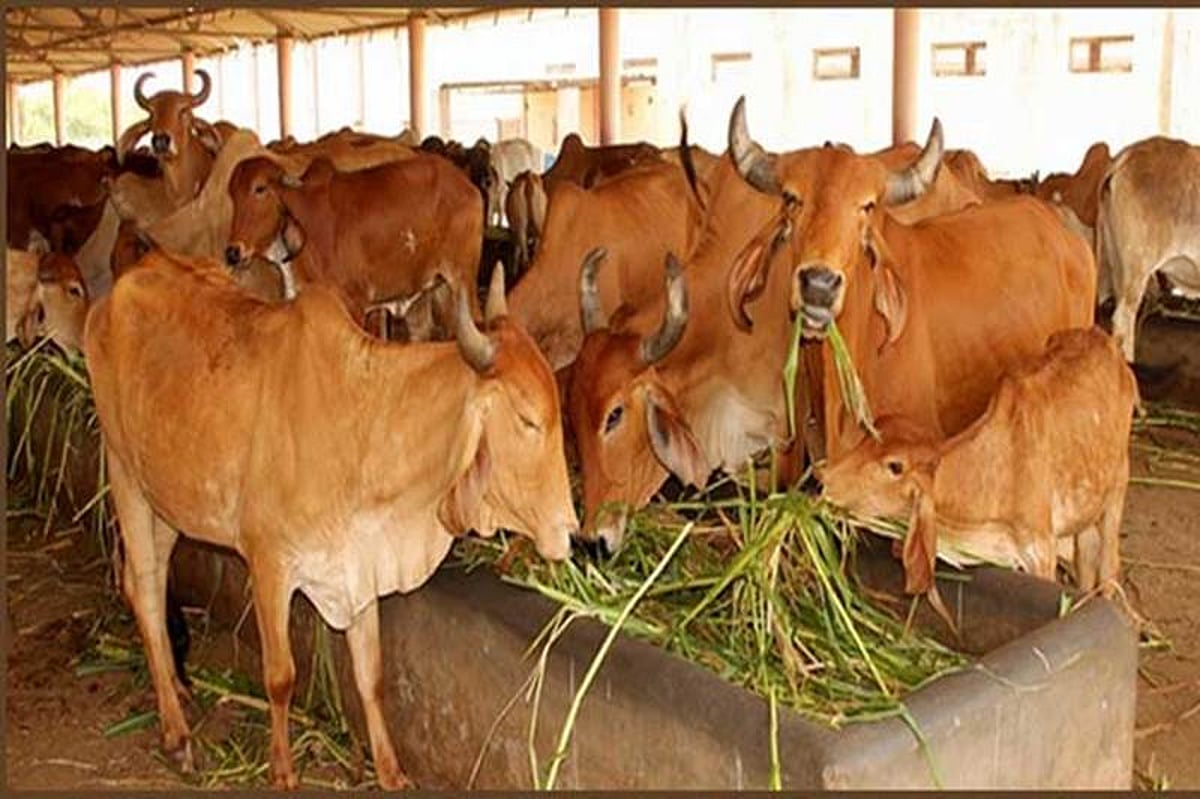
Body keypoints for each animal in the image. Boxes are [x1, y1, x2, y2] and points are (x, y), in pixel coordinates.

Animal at [83, 253, 577, 789]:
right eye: (528, 419)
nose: (570, 530)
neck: (361, 424)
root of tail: (119, 289)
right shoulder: (269, 562)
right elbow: (281, 676)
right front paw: (282, 771)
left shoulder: (359, 564)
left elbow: (371, 676)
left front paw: (390, 771)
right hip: (125, 475)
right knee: (144, 589)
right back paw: (176, 732)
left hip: (168, 501)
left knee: (152, 584)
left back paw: (177, 686)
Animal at [225, 152, 482, 337]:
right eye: (232, 195)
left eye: (260, 188)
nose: (233, 252)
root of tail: (468, 186)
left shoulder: (354, 304)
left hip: (463, 279)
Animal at [821, 327, 1135, 599]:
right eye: (867, 437)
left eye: (895, 466)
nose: (823, 478)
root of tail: (1105, 339)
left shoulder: (1041, 551)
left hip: (1118, 487)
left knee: (1108, 566)